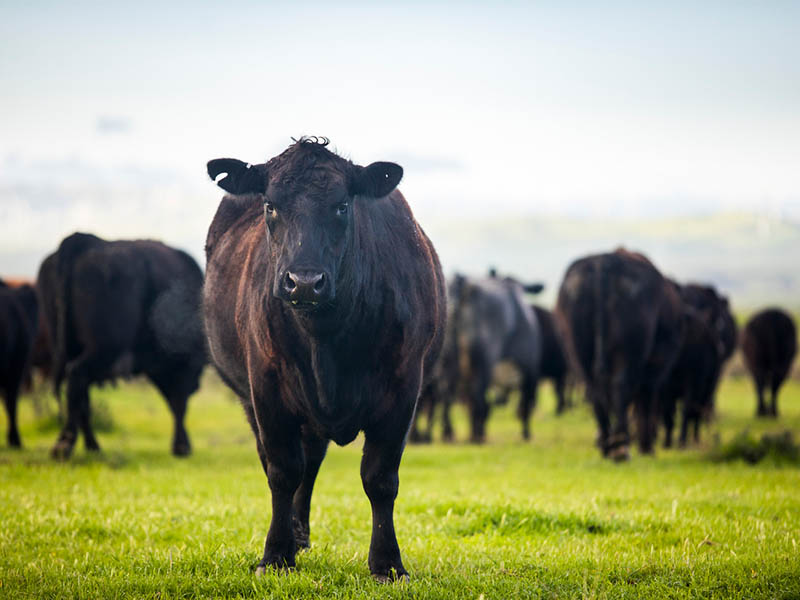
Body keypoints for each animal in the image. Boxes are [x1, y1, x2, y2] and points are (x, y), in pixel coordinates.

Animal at [38, 233, 206, 460]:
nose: (197, 386)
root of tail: (84, 240)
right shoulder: (181, 368)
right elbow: (178, 403)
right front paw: (181, 446)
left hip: (68, 348)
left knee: (81, 395)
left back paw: (92, 445)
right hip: (103, 349)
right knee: (76, 379)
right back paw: (65, 445)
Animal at [202, 137, 446, 581]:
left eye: (342, 205)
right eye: (270, 205)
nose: (304, 282)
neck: (326, 341)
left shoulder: (404, 387)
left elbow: (380, 478)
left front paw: (387, 563)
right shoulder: (266, 388)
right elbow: (282, 471)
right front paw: (275, 555)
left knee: (312, 460)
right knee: (289, 463)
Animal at [447, 273, 542, 443]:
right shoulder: (530, 368)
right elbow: (525, 405)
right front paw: (526, 434)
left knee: (452, 399)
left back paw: (456, 433)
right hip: (483, 365)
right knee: (478, 399)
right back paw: (478, 436)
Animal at [556, 249, 684, 460]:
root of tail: (603, 262)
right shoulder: (658, 365)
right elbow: (646, 401)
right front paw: (646, 446)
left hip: (579, 354)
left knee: (595, 392)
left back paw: (608, 445)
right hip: (629, 354)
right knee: (621, 387)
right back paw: (622, 448)